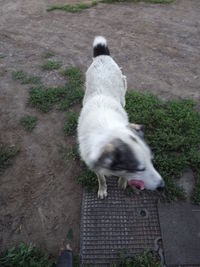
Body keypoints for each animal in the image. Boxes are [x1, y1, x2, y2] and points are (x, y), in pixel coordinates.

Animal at [76, 36, 164, 199]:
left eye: (151, 160)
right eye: (140, 169)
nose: (162, 186)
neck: (106, 127)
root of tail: (102, 55)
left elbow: (122, 176)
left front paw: (122, 182)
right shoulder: (94, 161)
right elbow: (101, 178)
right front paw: (102, 189)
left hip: (122, 83)